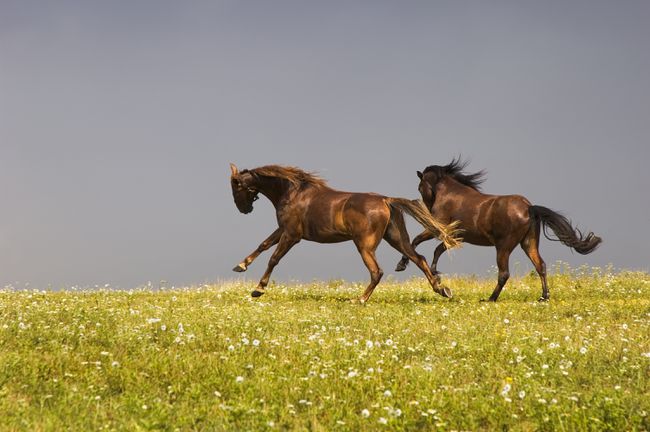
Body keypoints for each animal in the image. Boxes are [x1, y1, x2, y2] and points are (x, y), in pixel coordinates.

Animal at [229, 164, 460, 302]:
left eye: (235, 187)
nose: (243, 209)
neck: (292, 192)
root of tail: (386, 200)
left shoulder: (292, 235)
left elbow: (273, 258)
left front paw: (258, 289)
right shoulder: (283, 229)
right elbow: (263, 245)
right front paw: (240, 266)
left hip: (365, 246)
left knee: (377, 271)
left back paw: (359, 299)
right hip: (395, 238)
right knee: (419, 259)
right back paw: (442, 290)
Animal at [394, 157, 604, 302]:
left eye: (420, 187)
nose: (427, 211)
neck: (449, 195)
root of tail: (529, 208)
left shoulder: (438, 230)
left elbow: (415, 242)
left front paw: (402, 265)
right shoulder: (455, 236)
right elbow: (438, 250)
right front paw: (435, 271)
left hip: (503, 247)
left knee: (504, 273)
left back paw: (490, 298)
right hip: (528, 243)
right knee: (541, 266)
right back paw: (544, 297)